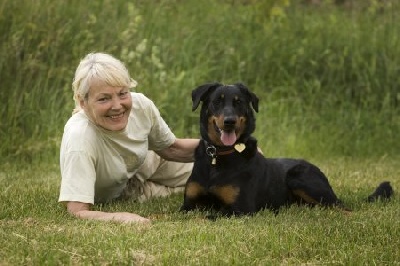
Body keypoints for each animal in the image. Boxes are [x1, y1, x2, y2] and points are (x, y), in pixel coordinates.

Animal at [181, 82, 394, 216]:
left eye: (238, 102)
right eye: (217, 101)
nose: (229, 121)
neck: (219, 155)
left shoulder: (241, 209)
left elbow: (204, 218)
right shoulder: (188, 205)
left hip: (300, 177)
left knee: (343, 208)